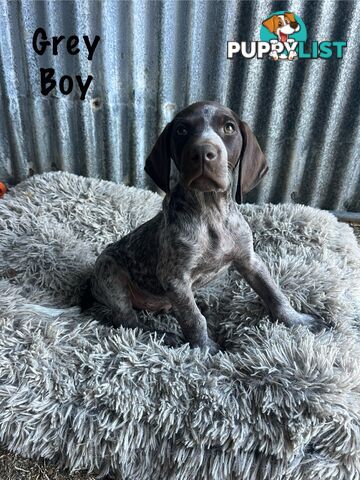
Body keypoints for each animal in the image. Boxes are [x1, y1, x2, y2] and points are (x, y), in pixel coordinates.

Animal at [82, 101, 324, 354]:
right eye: (181, 130)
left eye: (229, 127)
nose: (202, 153)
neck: (210, 212)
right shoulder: (175, 279)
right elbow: (194, 319)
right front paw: (205, 349)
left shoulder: (250, 261)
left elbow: (274, 293)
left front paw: (297, 321)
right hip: (110, 271)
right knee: (127, 321)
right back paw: (164, 336)